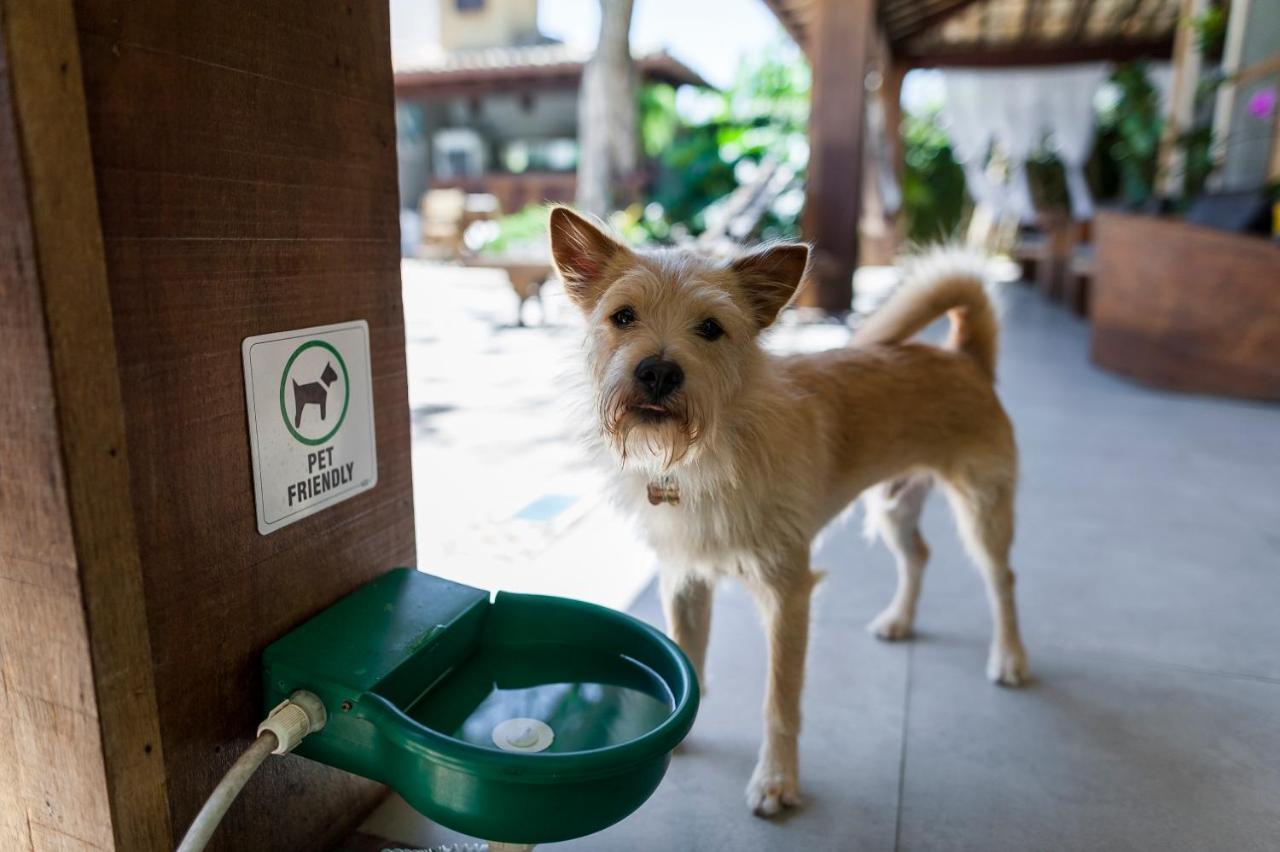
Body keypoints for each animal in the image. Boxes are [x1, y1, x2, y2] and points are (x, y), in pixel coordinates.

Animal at [550, 205, 1029, 818]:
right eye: (623, 316)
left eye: (711, 328)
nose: (657, 371)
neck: (711, 455)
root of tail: (965, 356)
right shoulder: (685, 581)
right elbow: (689, 658)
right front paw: (678, 735)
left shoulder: (787, 592)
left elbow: (780, 700)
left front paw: (776, 780)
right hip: (894, 506)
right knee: (918, 554)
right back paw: (900, 619)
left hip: (983, 511)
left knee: (1002, 579)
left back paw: (1010, 657)